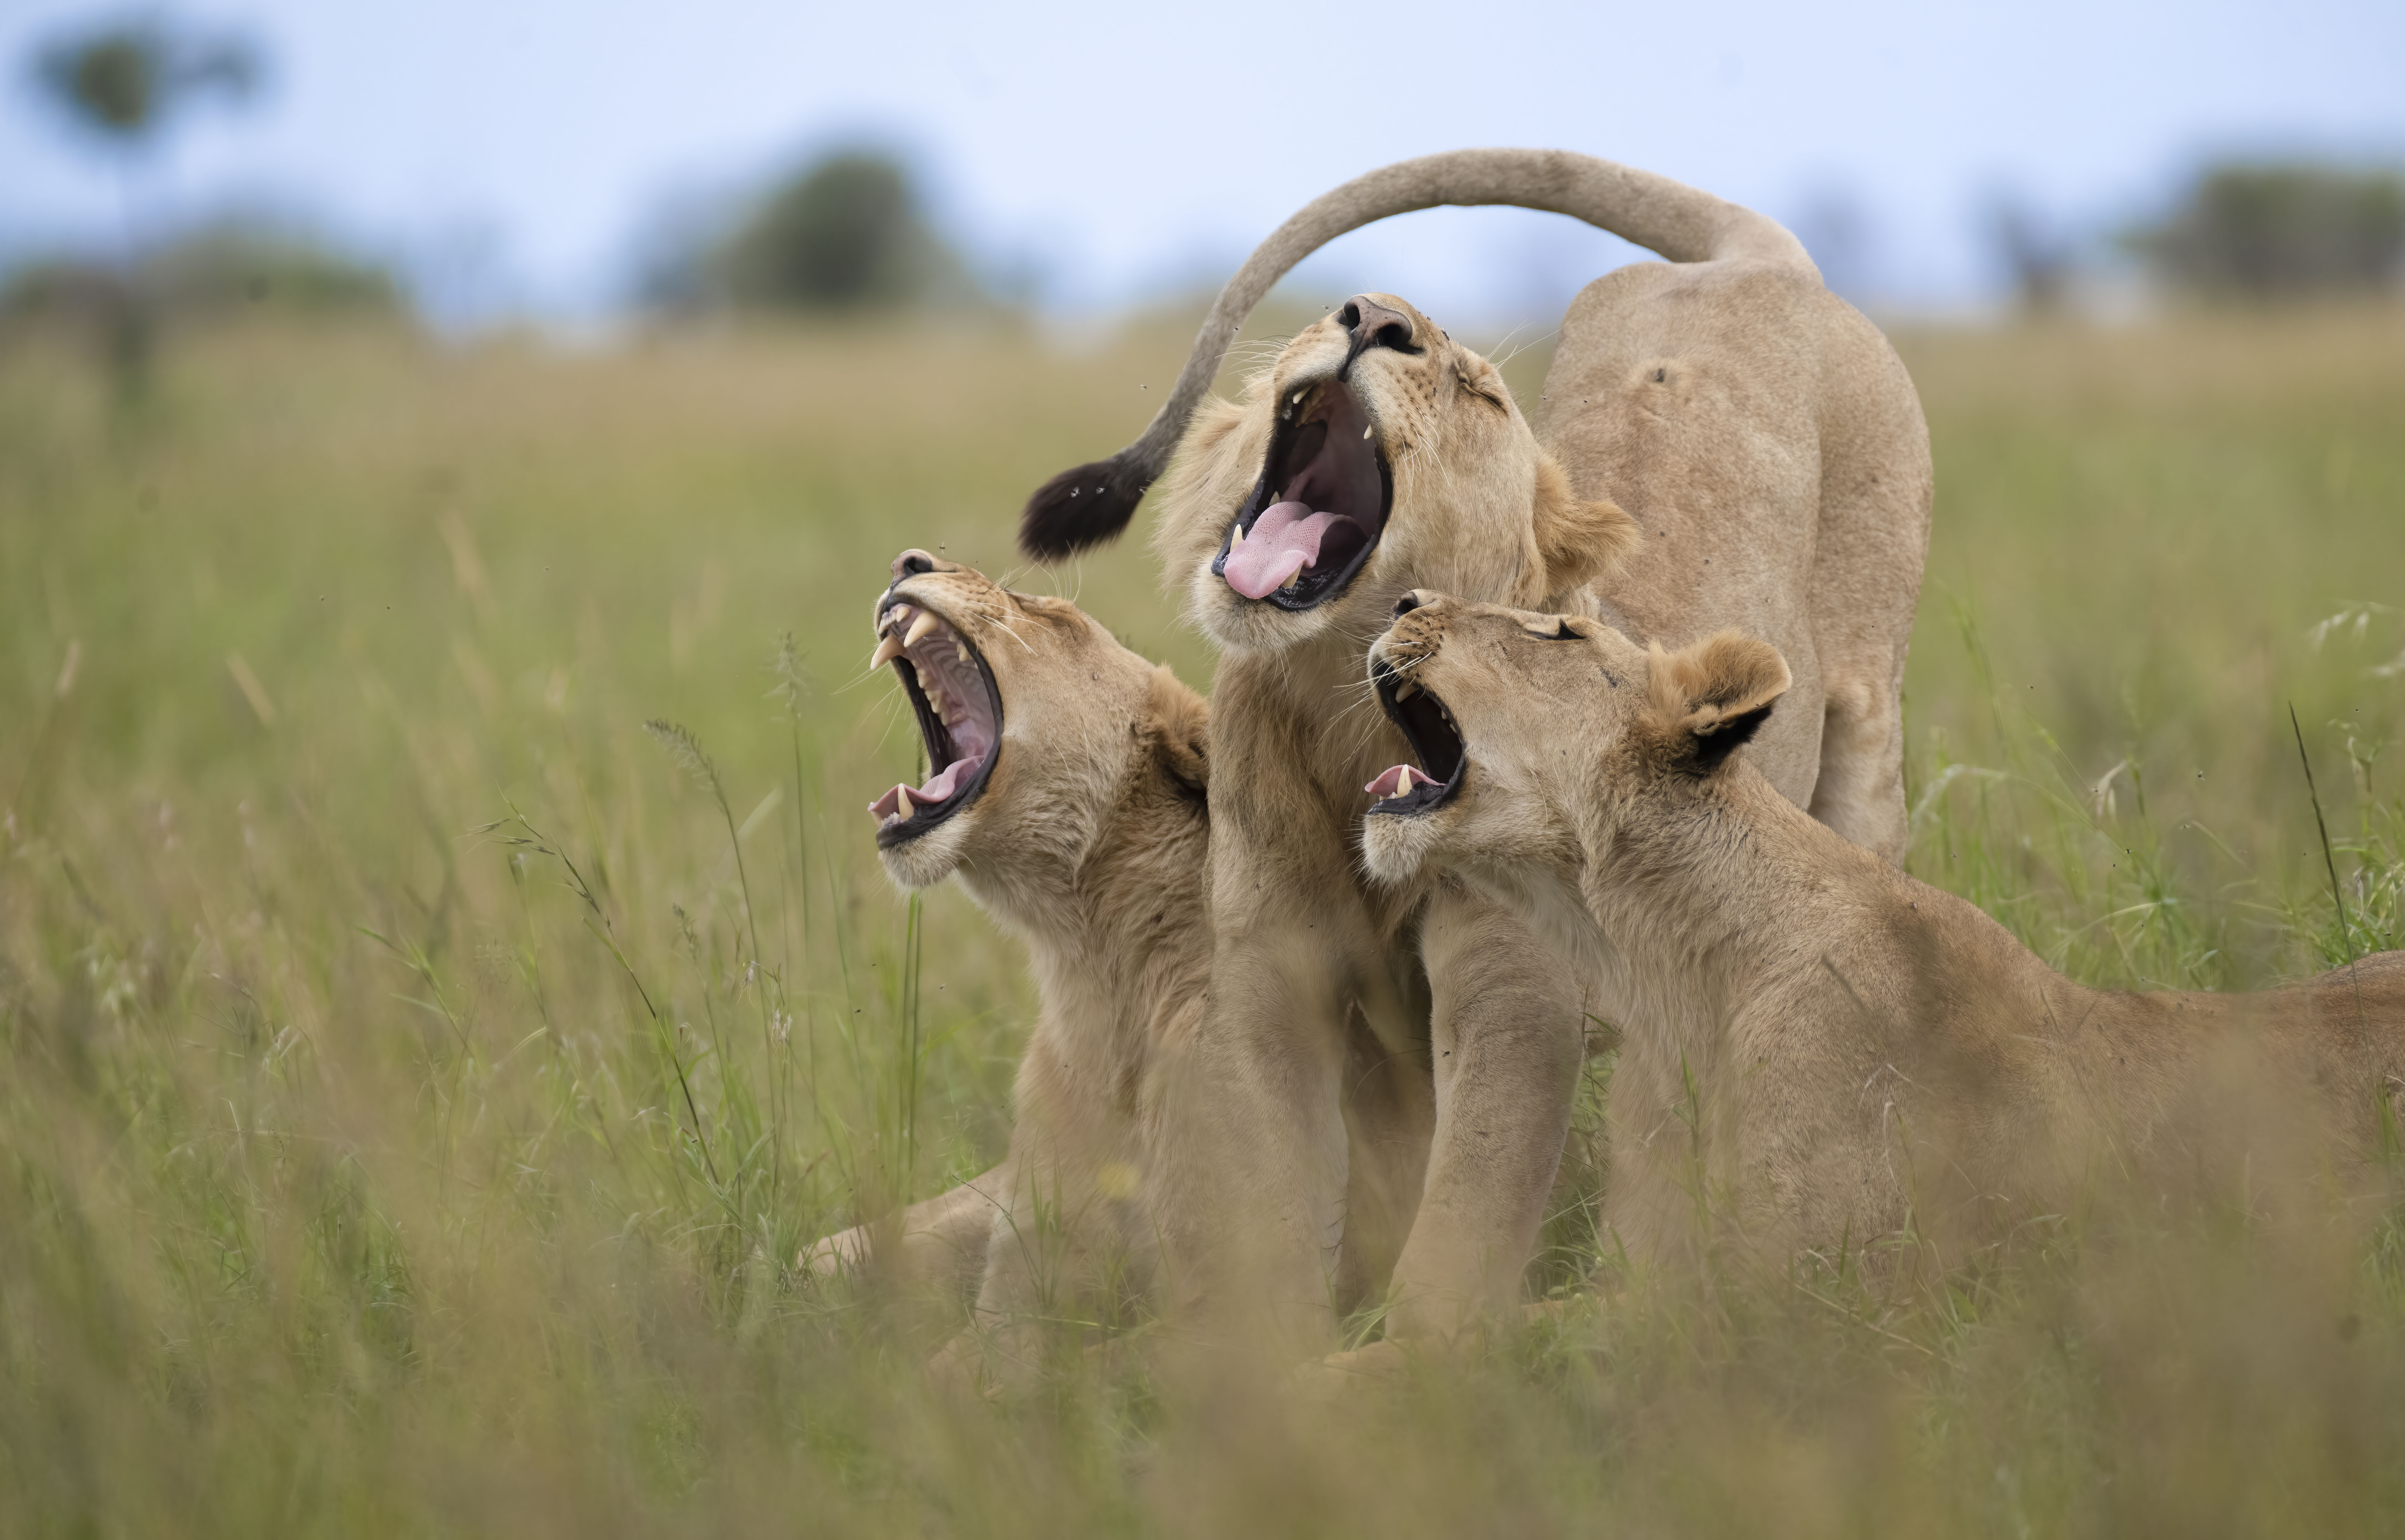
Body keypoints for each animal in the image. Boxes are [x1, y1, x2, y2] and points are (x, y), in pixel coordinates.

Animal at [802, 552, 1435, 1370]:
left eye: (1049, 613)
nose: (908, 561)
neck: (1098, 977)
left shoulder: (1254, 1317)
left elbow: (1068, 1369)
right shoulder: (1018, 1284)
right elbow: (961, 1366)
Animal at [1013, 150, 1932, 1347]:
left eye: (1481, 392)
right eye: (1348, 311)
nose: (1371, 318)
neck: (1341, 709)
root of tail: (1747, 266)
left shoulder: (1514, 991)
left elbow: (1465, 1215)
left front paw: (1415, 1365)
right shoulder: (1270, 980)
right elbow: (1269, 1194)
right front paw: (1262, 1359)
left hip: (1867, 731)